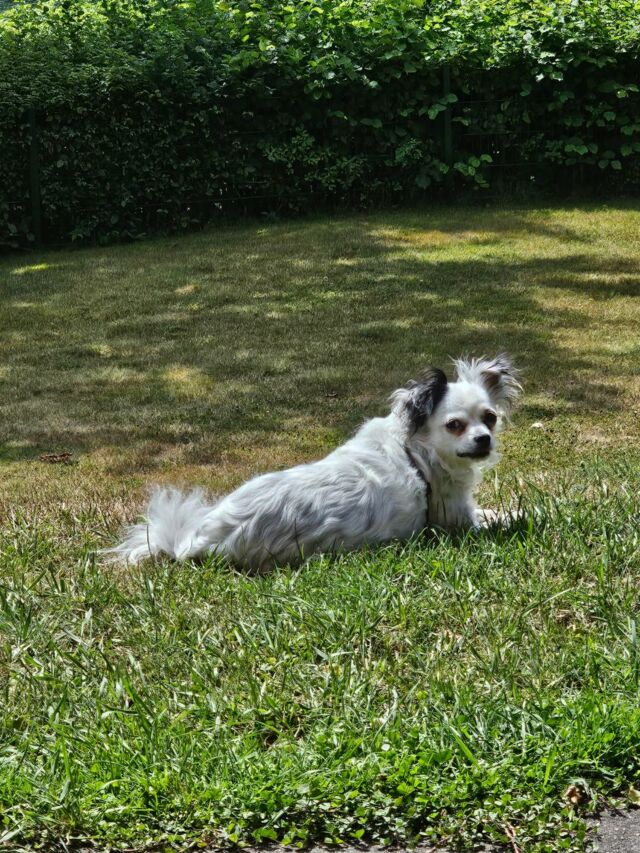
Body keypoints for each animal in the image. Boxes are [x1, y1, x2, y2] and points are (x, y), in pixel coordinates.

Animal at [109, 354, 521, 570]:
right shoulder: (457, 519)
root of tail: (194, 540)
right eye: (455, 425)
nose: (484, 440)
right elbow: (501, 516)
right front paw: (523, 513)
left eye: (490, 418)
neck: (414, 450)